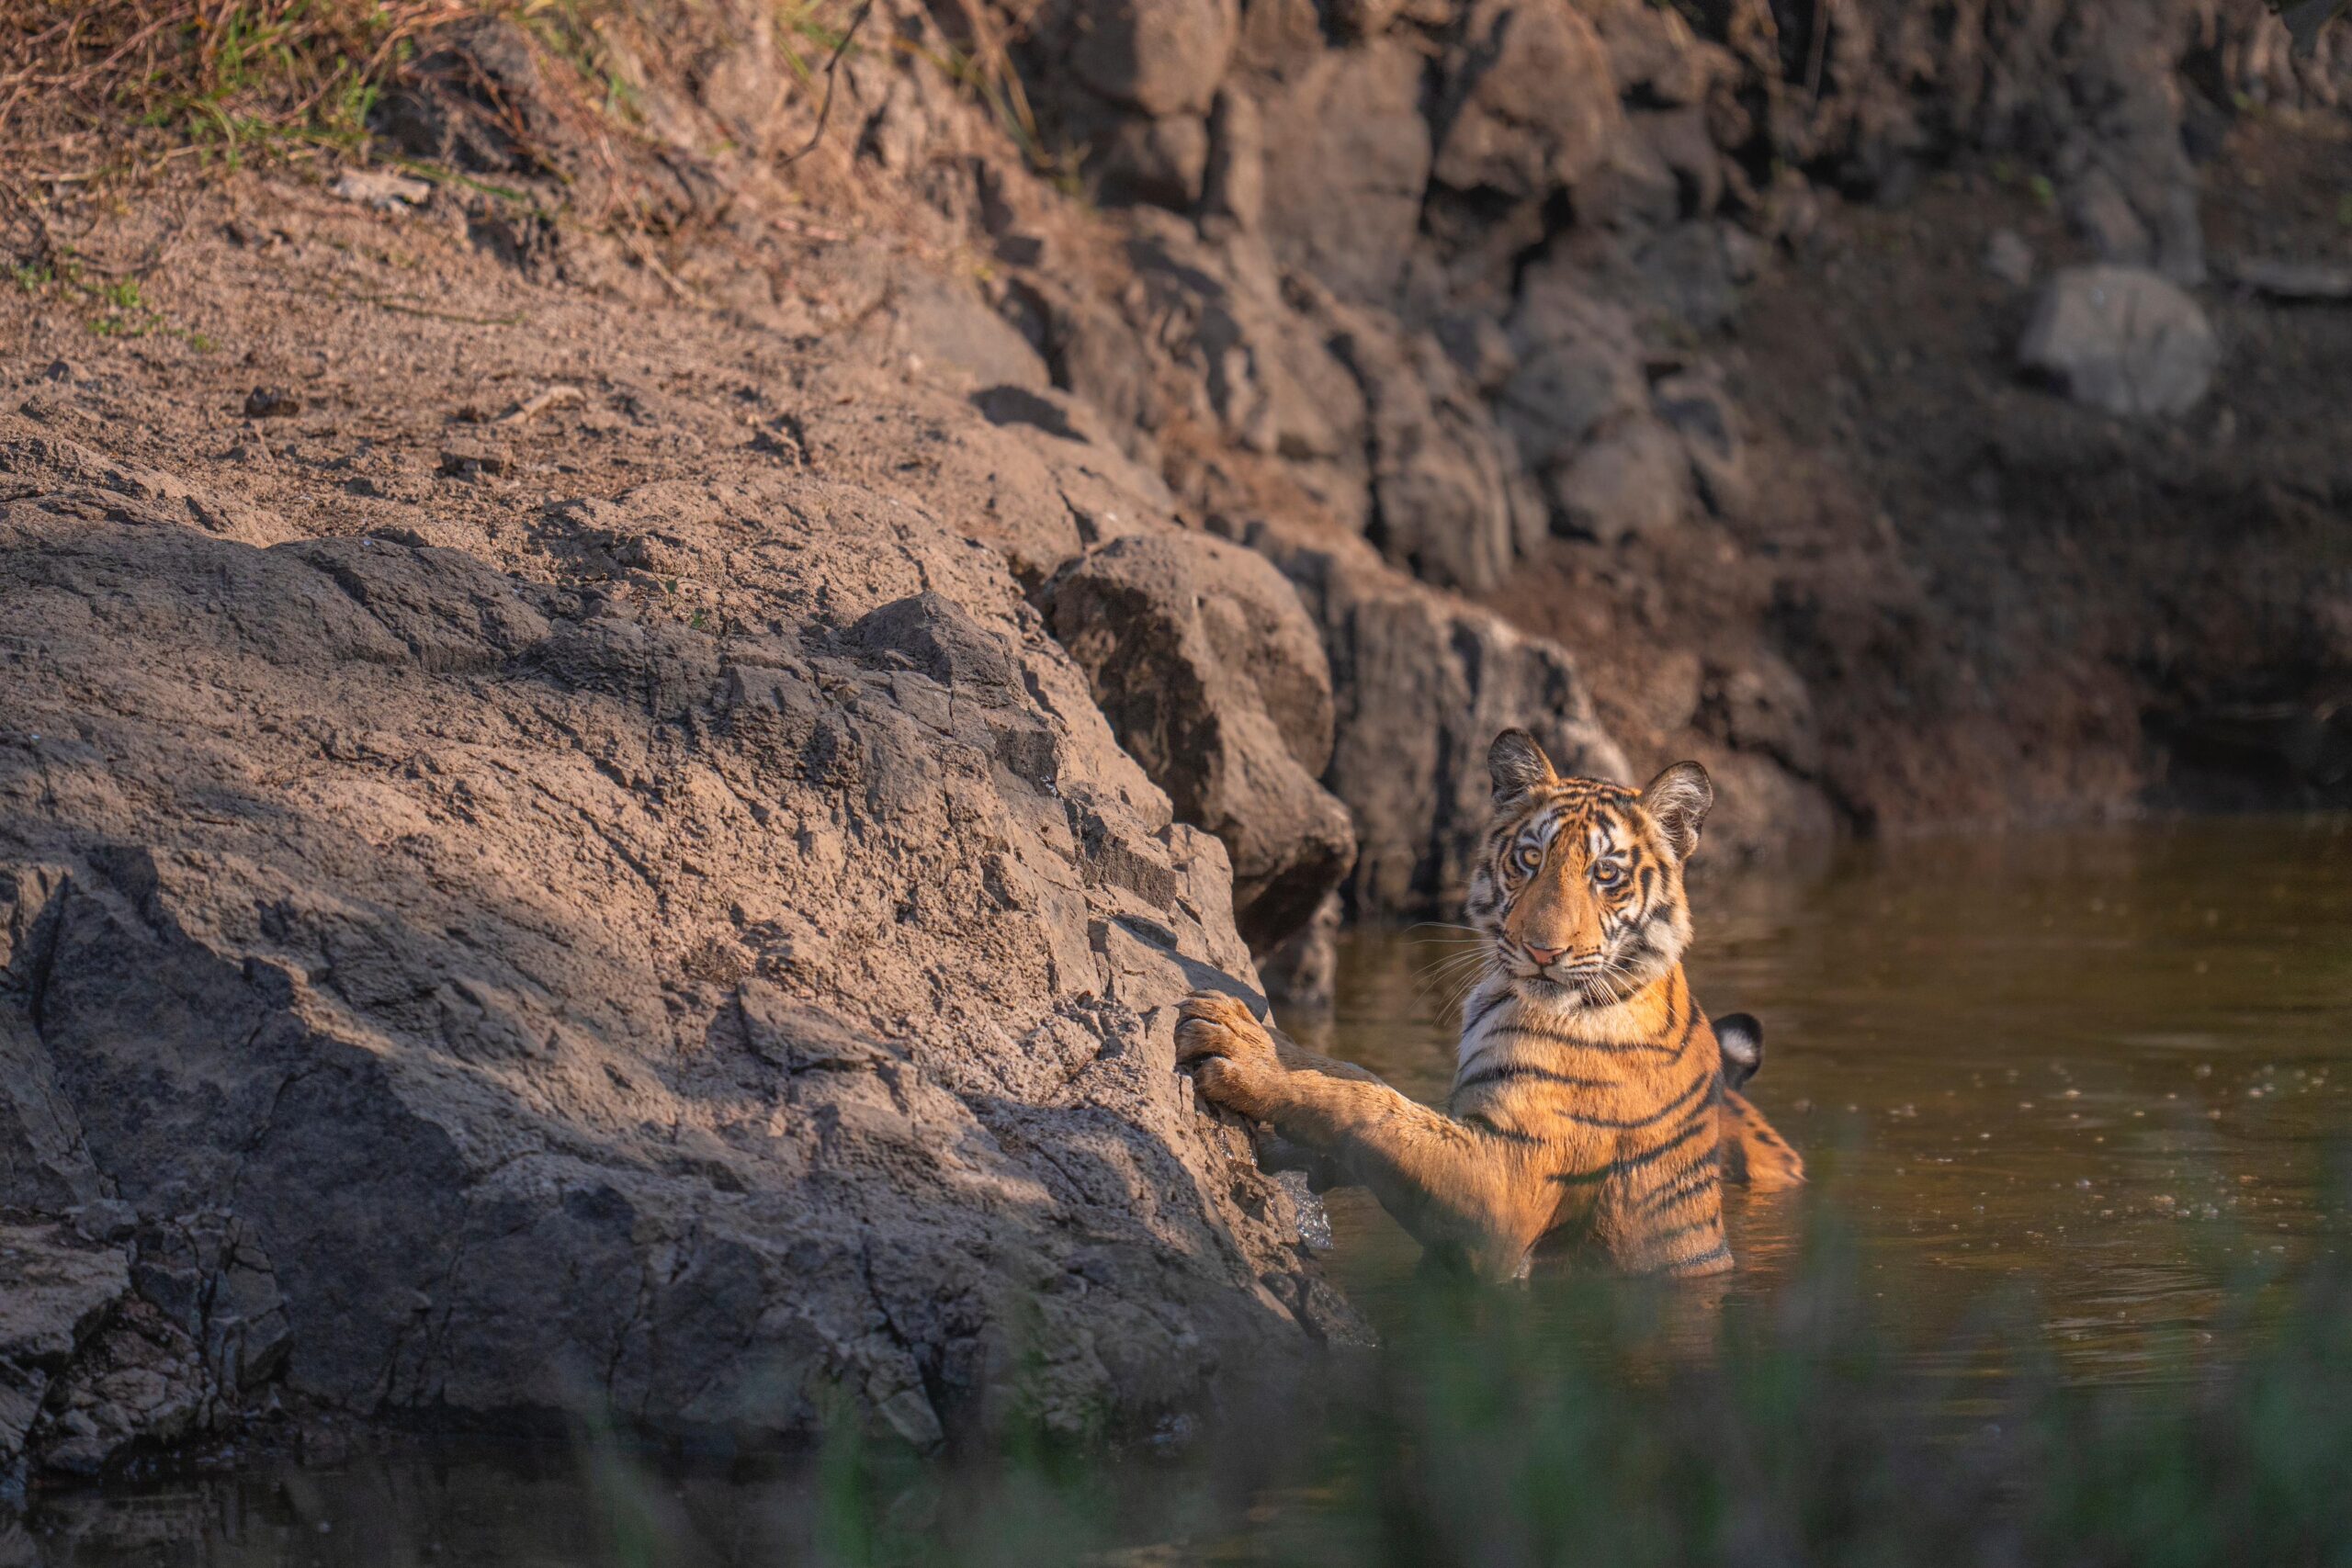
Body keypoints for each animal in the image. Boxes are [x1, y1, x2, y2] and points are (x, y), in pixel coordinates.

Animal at [1176, 728, 1796, 1279]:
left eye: (1606, 873)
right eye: (1530, 858)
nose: (1543, 950)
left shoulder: (1506, 1185)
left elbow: (1374, 1105)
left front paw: (1245, 1055)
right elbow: (1352, 1073)